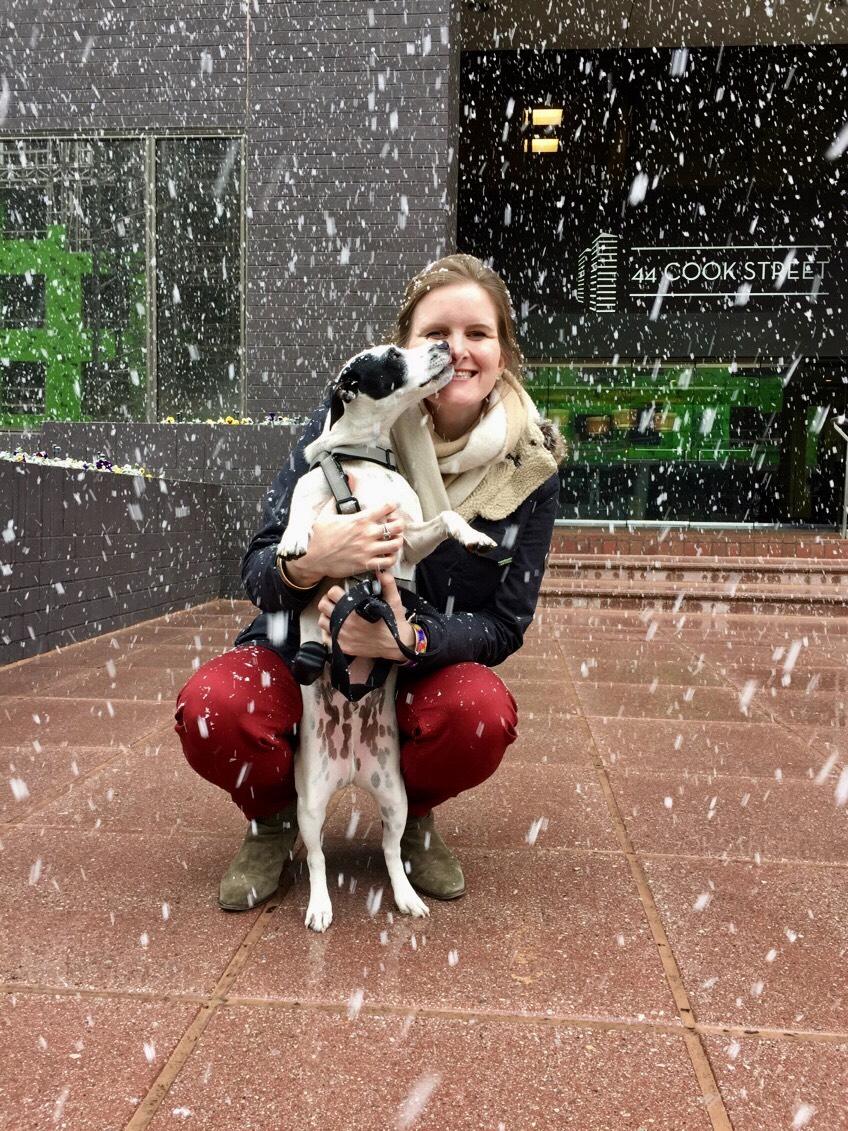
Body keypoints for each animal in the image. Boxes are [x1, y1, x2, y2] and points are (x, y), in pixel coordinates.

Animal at [275, 339, 495, 931]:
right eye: (394, 356)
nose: (441, 345)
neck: (361, 460)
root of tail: (352, 769)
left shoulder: (407, 538)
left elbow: (445, 518)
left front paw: (476, 535)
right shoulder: (320, 497)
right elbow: (304, 512)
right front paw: (294, 539)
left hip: (395, 798)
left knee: (393, 850)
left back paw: (406, 896)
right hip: (309, 805)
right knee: (318, 859)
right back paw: (320, 907)